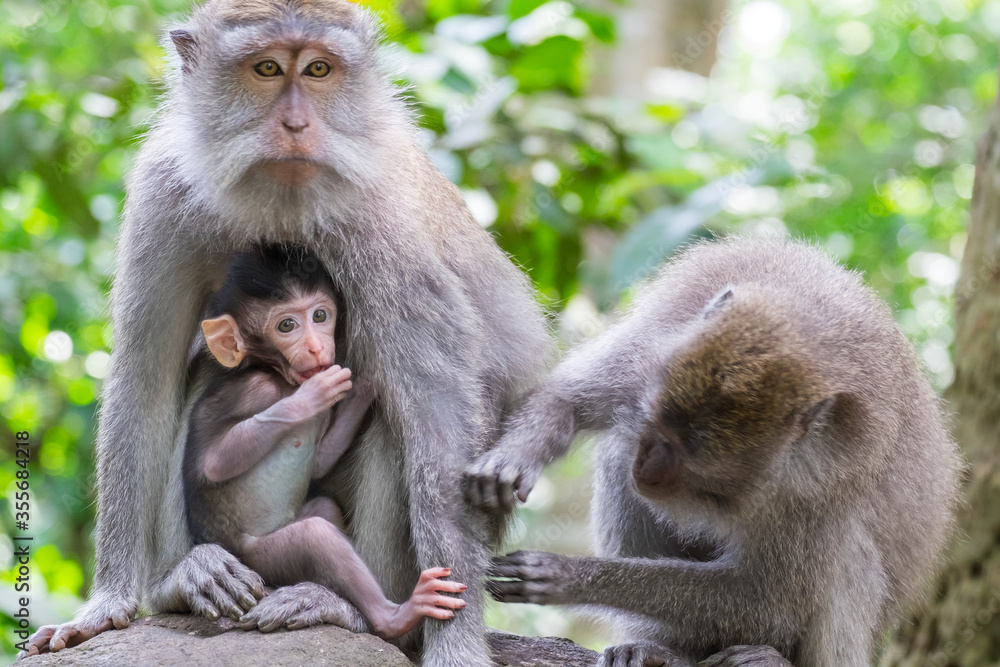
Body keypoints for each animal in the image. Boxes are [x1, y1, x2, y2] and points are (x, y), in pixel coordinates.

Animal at [184, 244, 467, 640]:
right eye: (287, 325)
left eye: (320, 316)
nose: (318, 349)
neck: (280, 376)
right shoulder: (255, 390)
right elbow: (214, 463)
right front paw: (311, 396)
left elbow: (320, 461)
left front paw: (366, 382)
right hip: (255, 558)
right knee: (314, 535)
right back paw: (396, 615)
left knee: (324, 511)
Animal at [465, 237, 961, 666]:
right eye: (656, 427)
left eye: (694, 458)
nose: (648, 471)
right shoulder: (653, 351)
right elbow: (566, 399)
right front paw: (510, 464)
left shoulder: (818, 490)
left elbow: (767, 600)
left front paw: (567, 575)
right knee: (616, 455)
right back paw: (665, 648)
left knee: (852, 557)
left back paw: (772, 660)